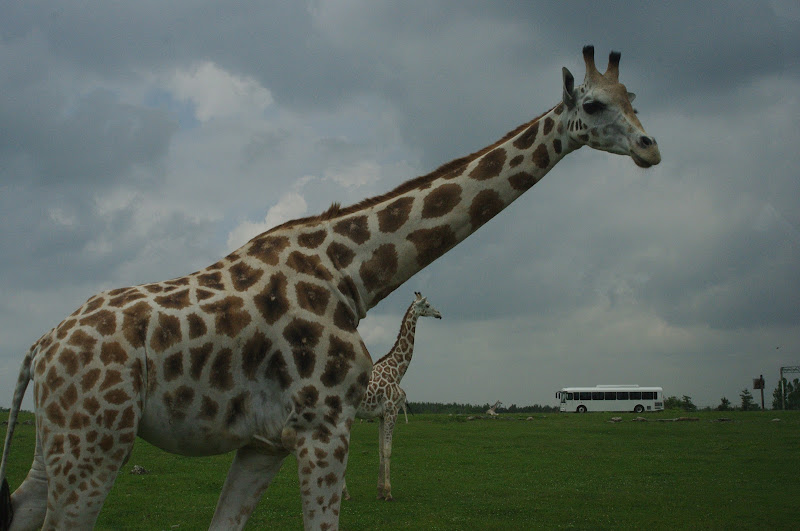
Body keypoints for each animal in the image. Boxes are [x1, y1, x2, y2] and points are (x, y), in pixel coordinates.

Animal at [343, 292, 441, 502]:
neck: (397, 370)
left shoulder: (381, 415)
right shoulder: (392, 410)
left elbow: (381, 450)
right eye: (427, 305)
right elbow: (388, 450)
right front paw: (388, 492)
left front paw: (380, 491)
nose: (439, 314)